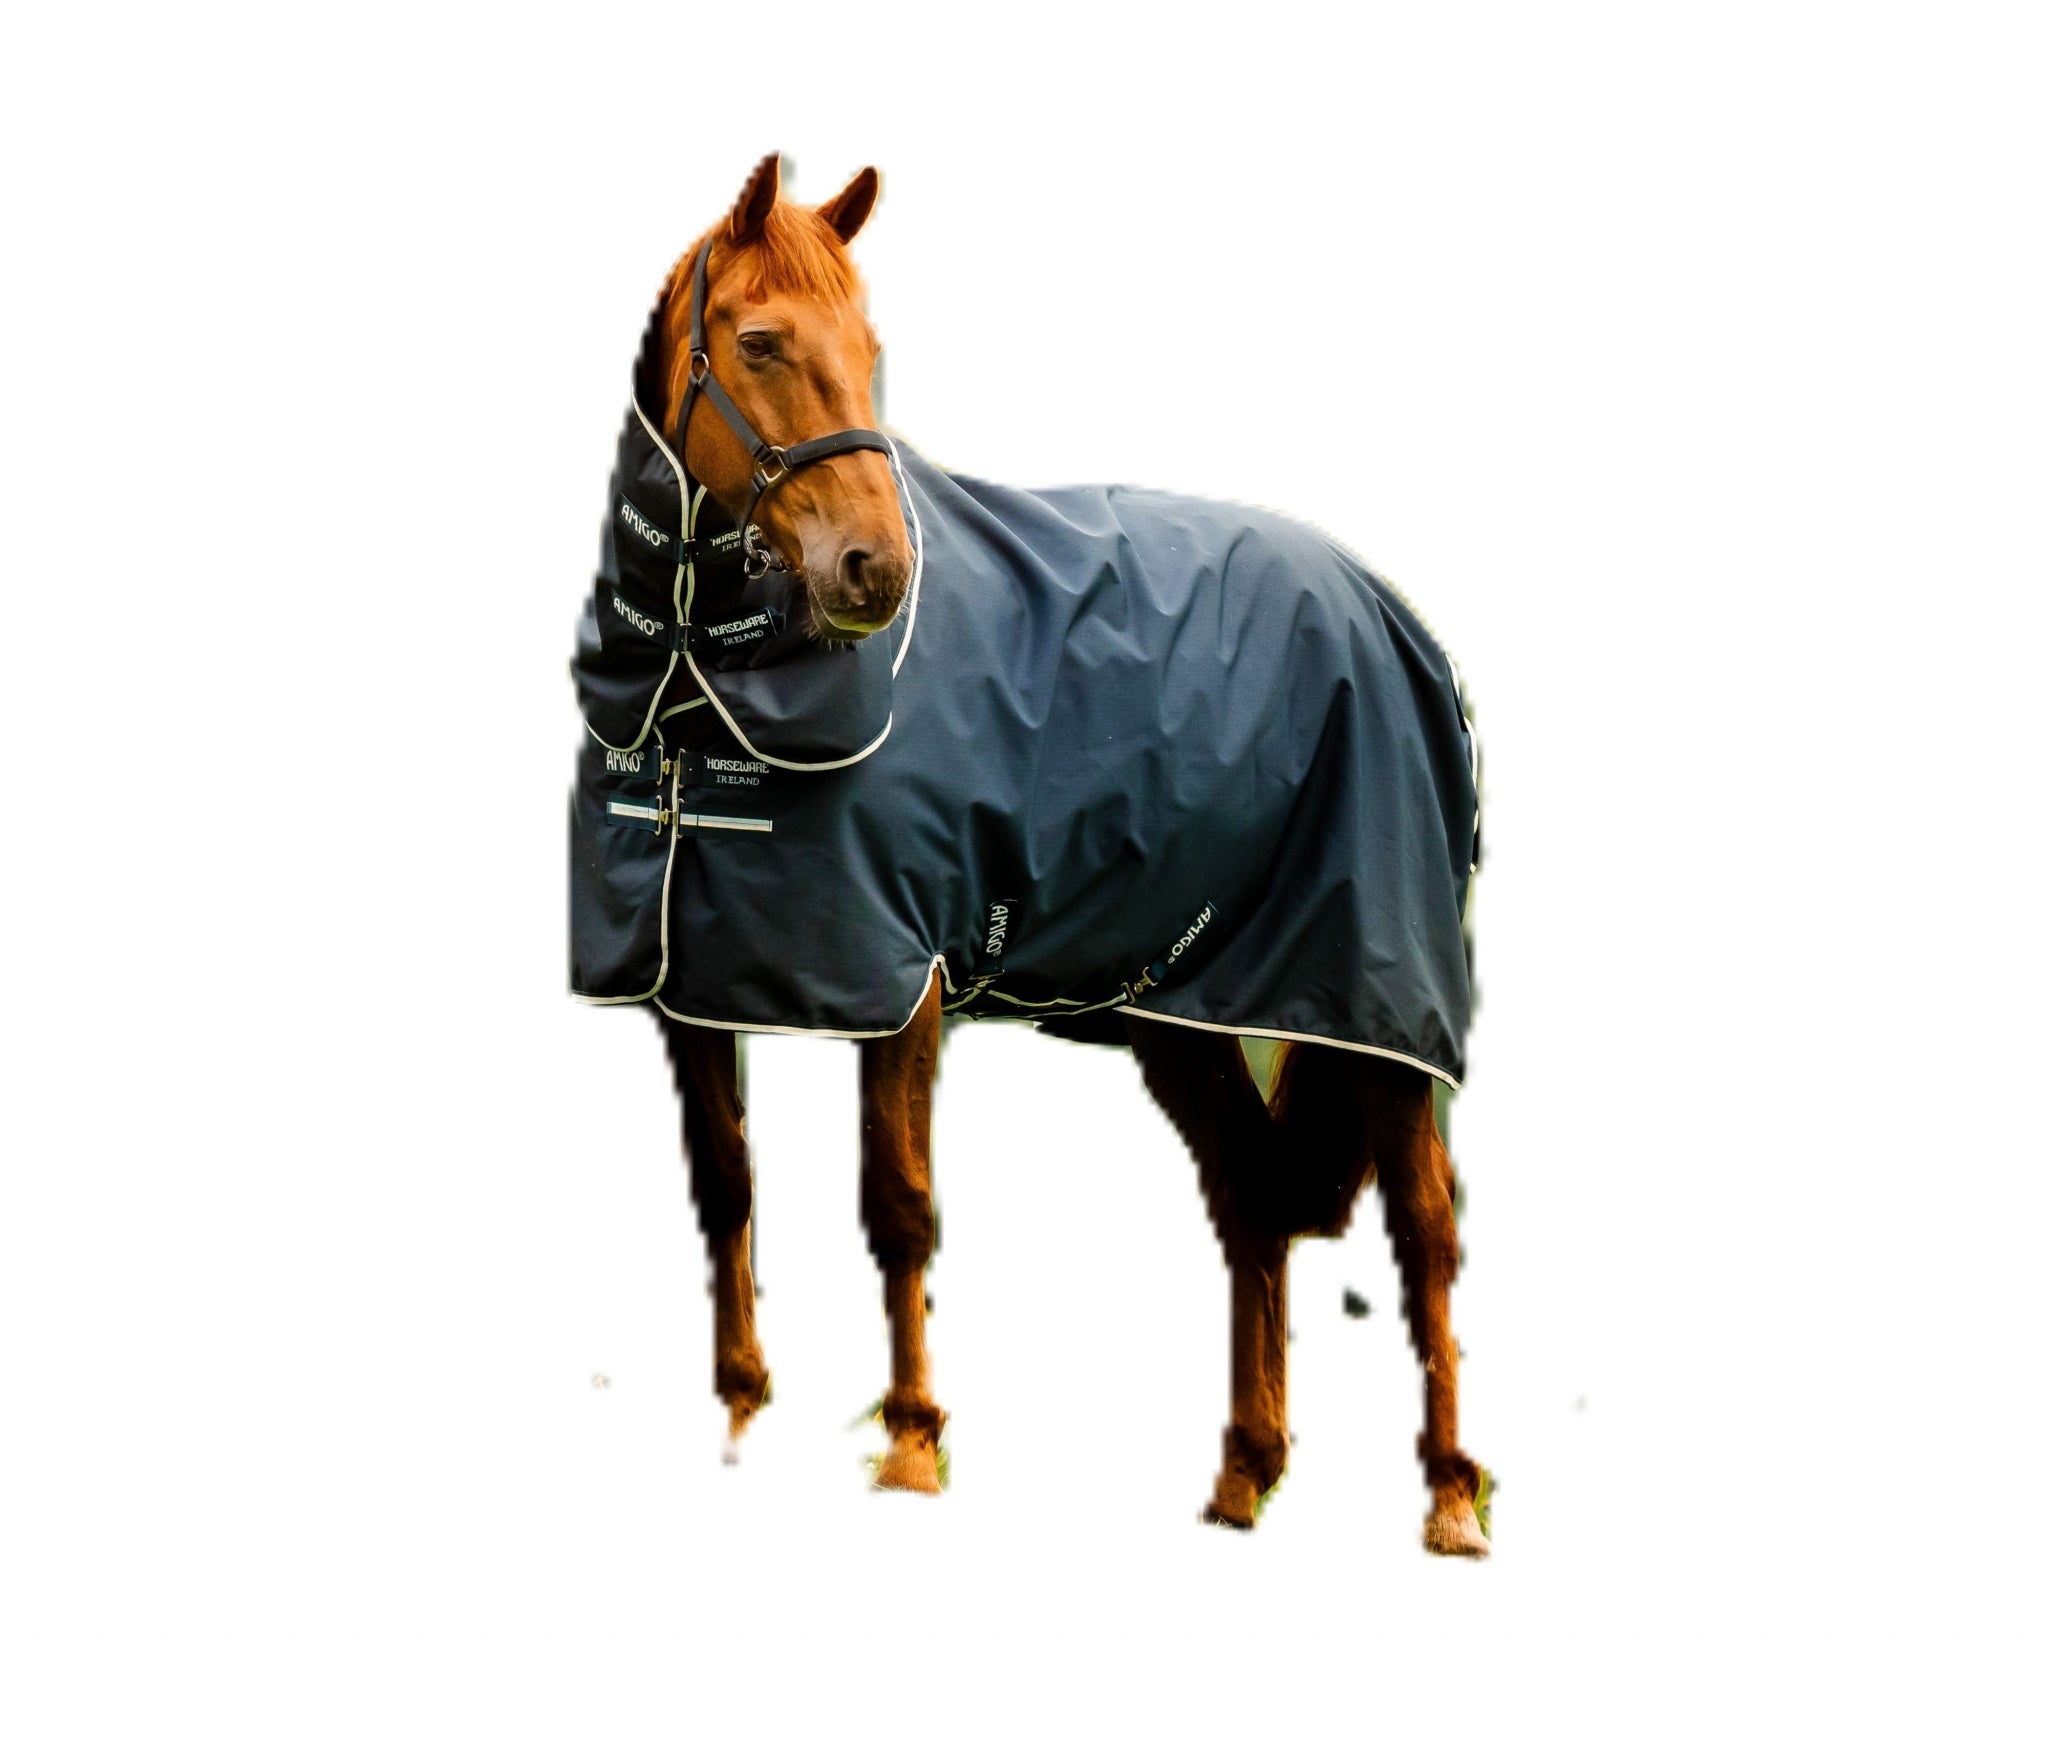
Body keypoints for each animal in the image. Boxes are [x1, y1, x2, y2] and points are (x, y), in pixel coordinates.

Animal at [570, 154, 1490, 1554]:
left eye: (871, 349)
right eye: (761, 341)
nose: (875, 574)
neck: (695, 700)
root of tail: (1386, 610)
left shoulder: (902, 986)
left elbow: (899, 1206)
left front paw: (910, 1444)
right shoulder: (690, 989)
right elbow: (725, 1187)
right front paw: (738, 1408)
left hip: (1376, 1007)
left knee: (1424, 1234)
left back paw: (1447, 1495)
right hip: (1184, 1012)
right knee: (1251, 1204)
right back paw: (1242, 1473)